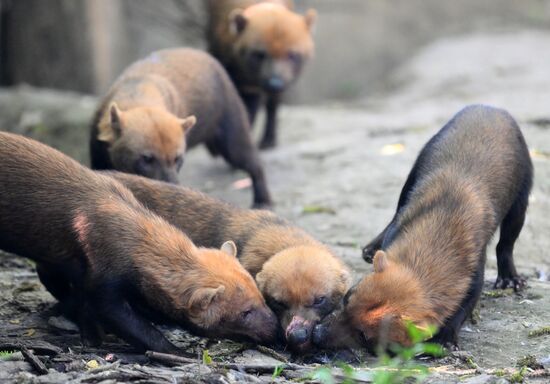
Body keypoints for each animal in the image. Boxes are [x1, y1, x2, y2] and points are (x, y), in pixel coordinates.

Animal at [91, 48, 272, 210]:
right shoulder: (98, 149)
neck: (139, 90)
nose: (171, 186)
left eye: (177, 158)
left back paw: (263, 200)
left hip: (229, 117)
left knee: (245, 154)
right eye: (146, 158)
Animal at [314, 105, 536, 352]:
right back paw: (370, 249)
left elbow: (464, 306)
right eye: (348, 298)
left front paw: (445, 339)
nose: (317, 334)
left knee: (506, 244)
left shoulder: (475, 272)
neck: (440, 230)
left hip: (521, 201)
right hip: (411, 177)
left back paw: (510, 279)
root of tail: (491, 107)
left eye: (364, 336)